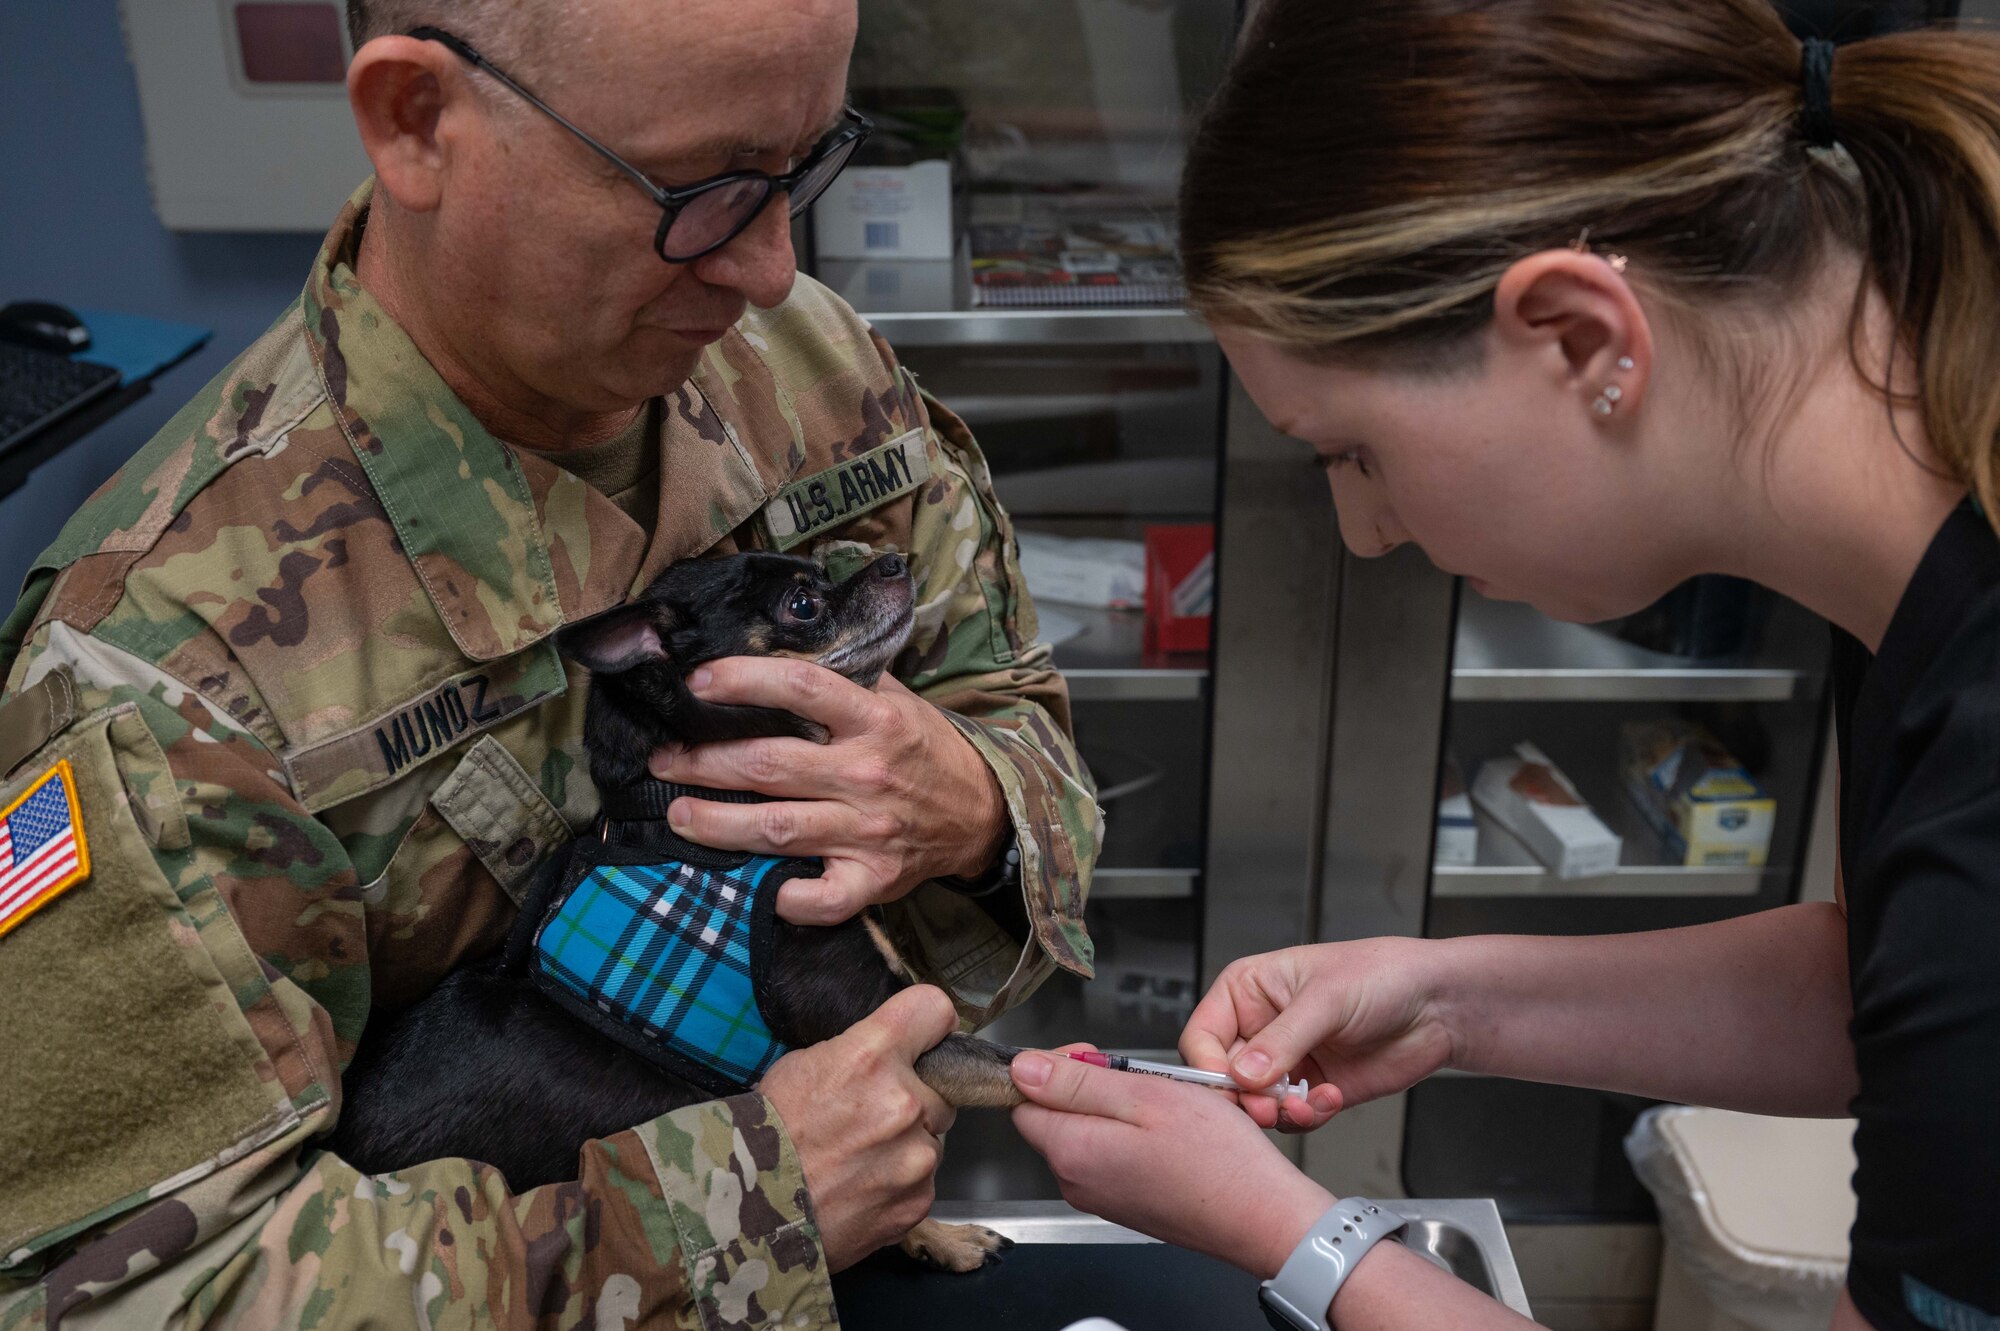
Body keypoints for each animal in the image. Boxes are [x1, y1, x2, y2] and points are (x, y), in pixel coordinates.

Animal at [334, 547, 1024, 1263]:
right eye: (803, 604)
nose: (893, 560)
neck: (693, 809)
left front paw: (938, 1236)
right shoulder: (886, 1032)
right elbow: (1008, 1068)